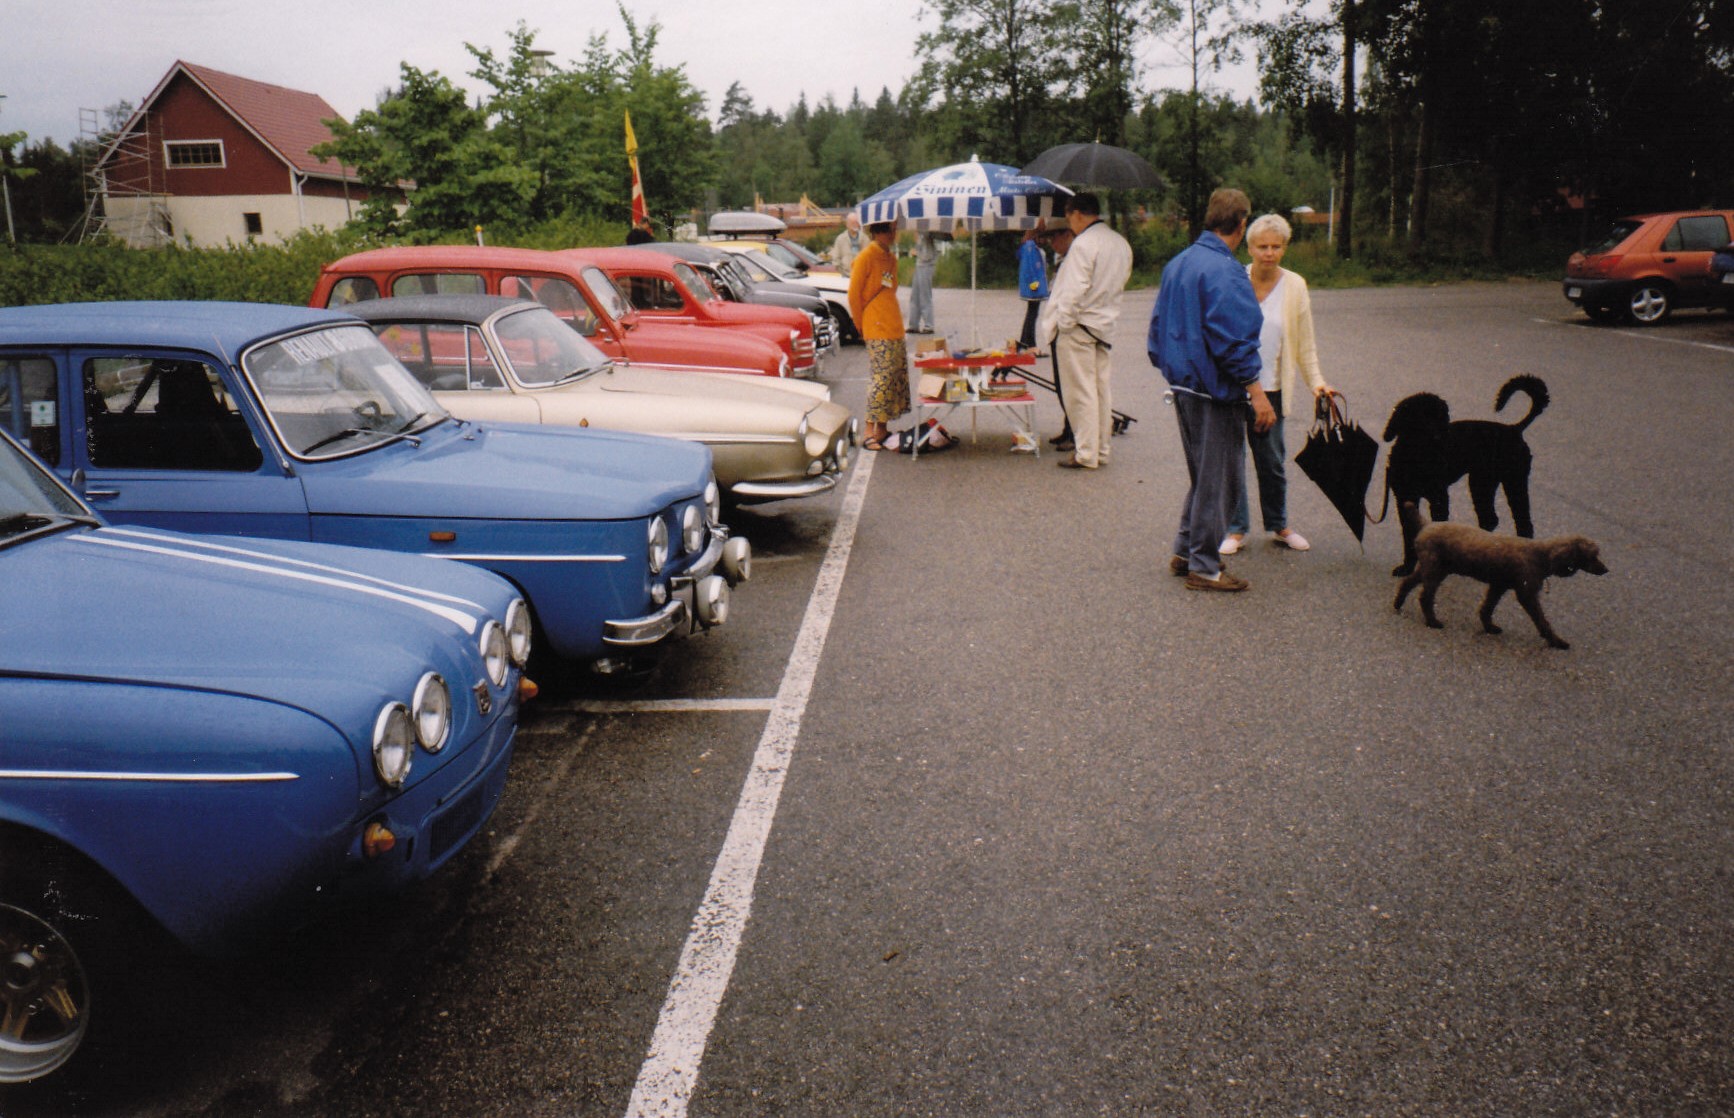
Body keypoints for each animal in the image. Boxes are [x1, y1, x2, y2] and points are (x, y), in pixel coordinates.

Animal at [1387, 502, 1602, 648]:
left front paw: (1489, 627)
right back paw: (1432, 622)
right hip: (1434, 570)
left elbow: (1487, 608)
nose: (1605, 569)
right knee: (1425, 597)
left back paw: (1398, 603)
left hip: (1431, 568)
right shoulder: (1526, 593)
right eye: (1593, 556)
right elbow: (1541, 620)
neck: (1540, 555)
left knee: (1407, 583)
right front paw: (1556, 640)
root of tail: (1426, 525)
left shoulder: (1499, 585)